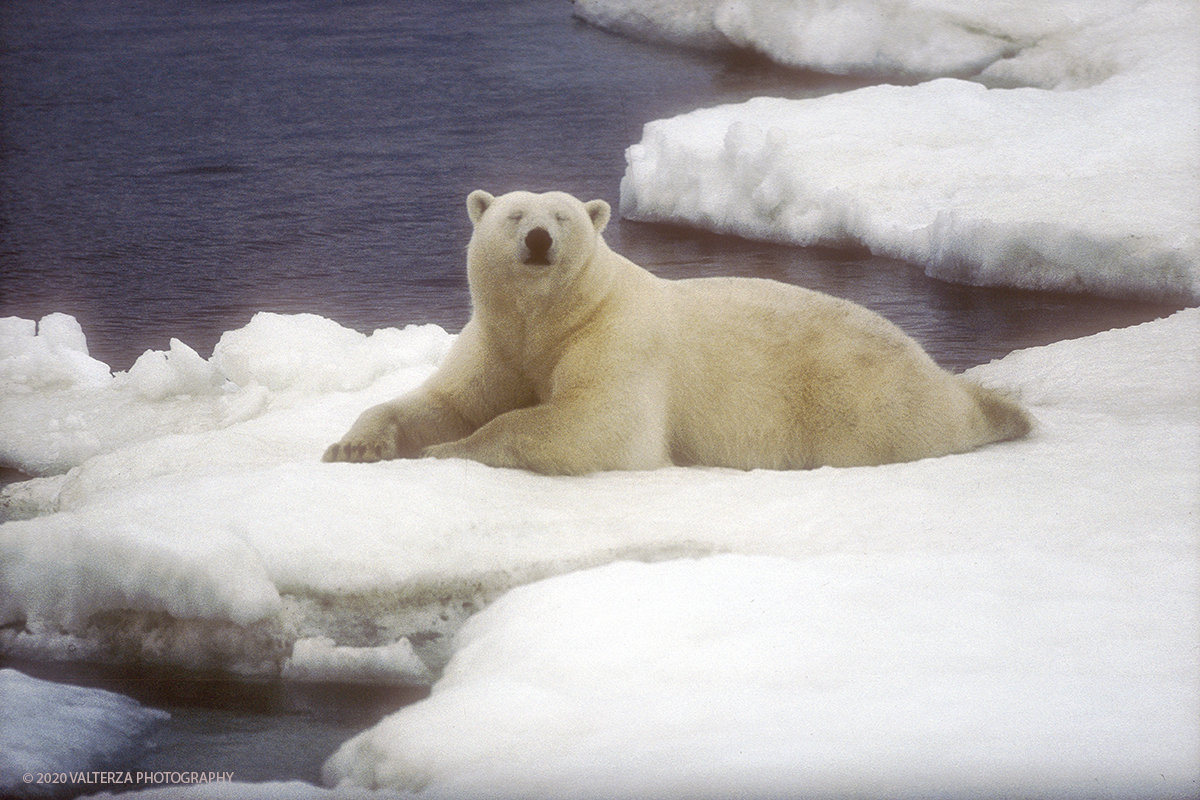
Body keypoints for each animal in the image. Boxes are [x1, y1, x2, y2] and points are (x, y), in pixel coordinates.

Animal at [321, 188, 1032, 474]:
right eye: (514, 215)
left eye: (563, 215)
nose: (540, 239)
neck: (548, 321)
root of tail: (934, 366)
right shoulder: (498, 344)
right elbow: (445, 400)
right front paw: (355, 446)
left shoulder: (616, 338)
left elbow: (596, 425)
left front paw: (448, 451)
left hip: (857, 396)